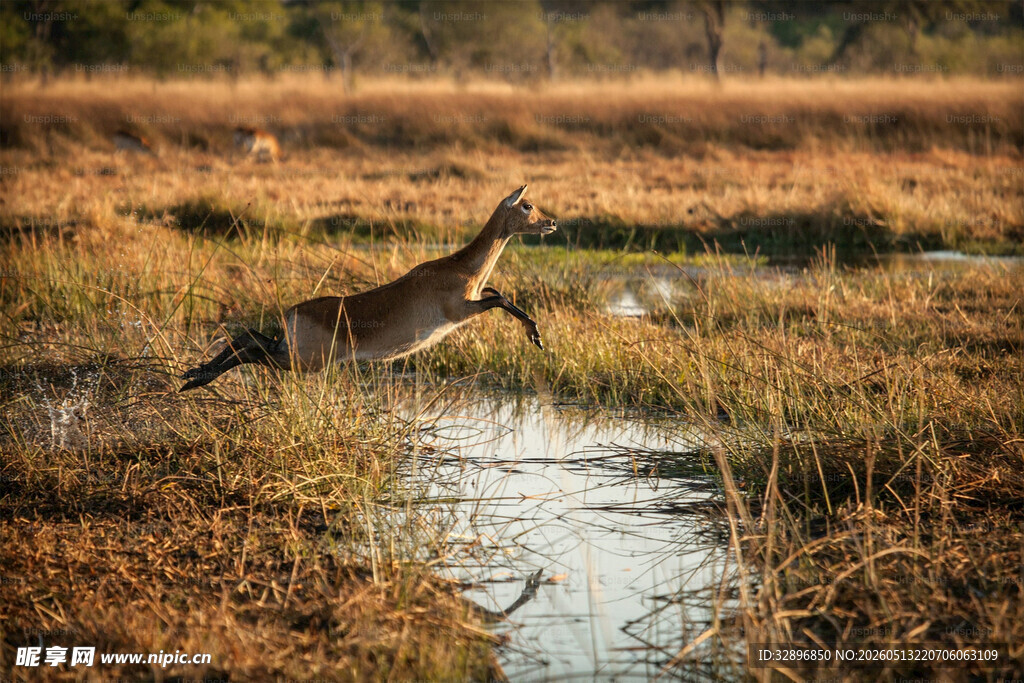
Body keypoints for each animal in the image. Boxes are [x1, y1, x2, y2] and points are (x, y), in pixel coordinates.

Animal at [179, 185, 556, 391]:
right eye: (527, 205)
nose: (551, 222)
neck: (461, 267)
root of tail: (292, 311)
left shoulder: (474, 299)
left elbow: (497, 292)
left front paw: (536, 335)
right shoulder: (461, 310)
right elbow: (501, 298)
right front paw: (536, 336)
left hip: (292, 351)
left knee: (248, 338)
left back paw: (193, 375)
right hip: (301, 360)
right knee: (252, 348)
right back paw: (196, 378)